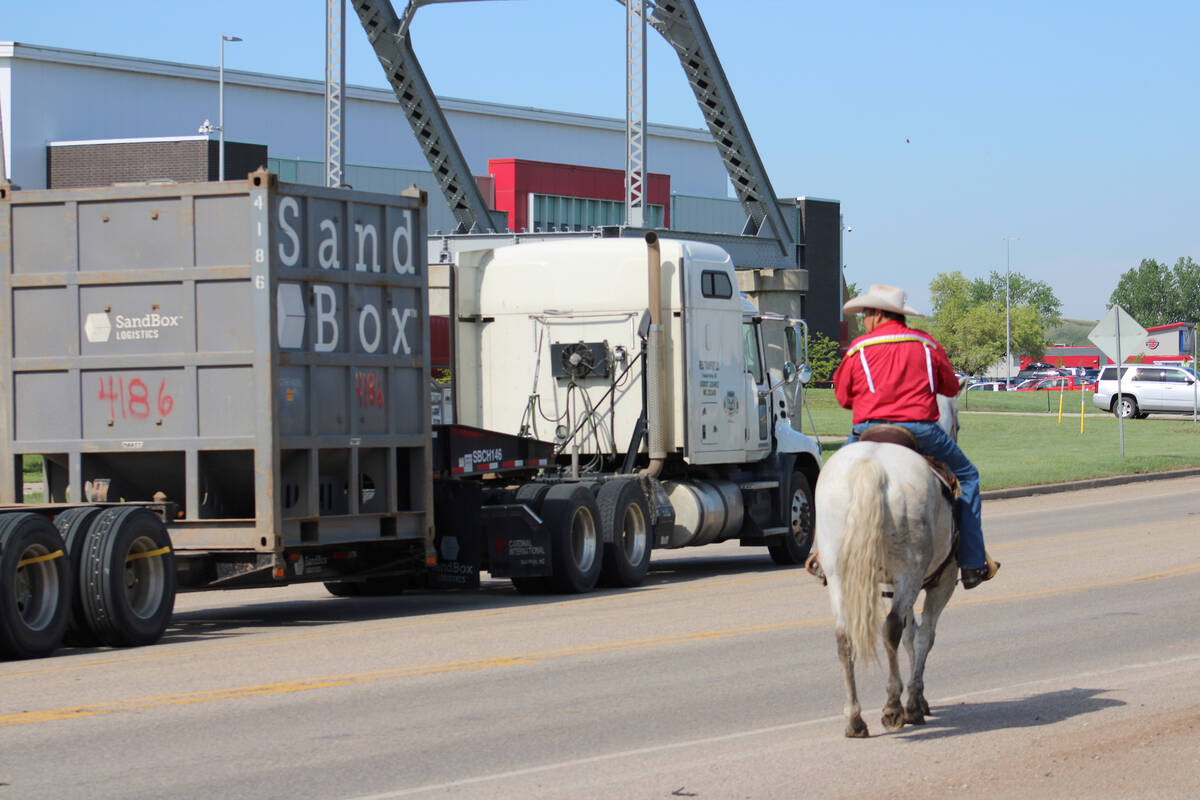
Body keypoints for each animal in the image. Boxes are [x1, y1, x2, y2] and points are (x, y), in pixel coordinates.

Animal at [811, 393, 960, 738]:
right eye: (957, 425)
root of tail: (872, 465)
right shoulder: (941, 581)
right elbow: (923, 635)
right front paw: (915, 701)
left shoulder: (893, 585)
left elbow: (911, 635)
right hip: (911, 573)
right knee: (891, 628)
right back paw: (893, 706)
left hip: (839, 574)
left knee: (844, 636)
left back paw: (855, 718)